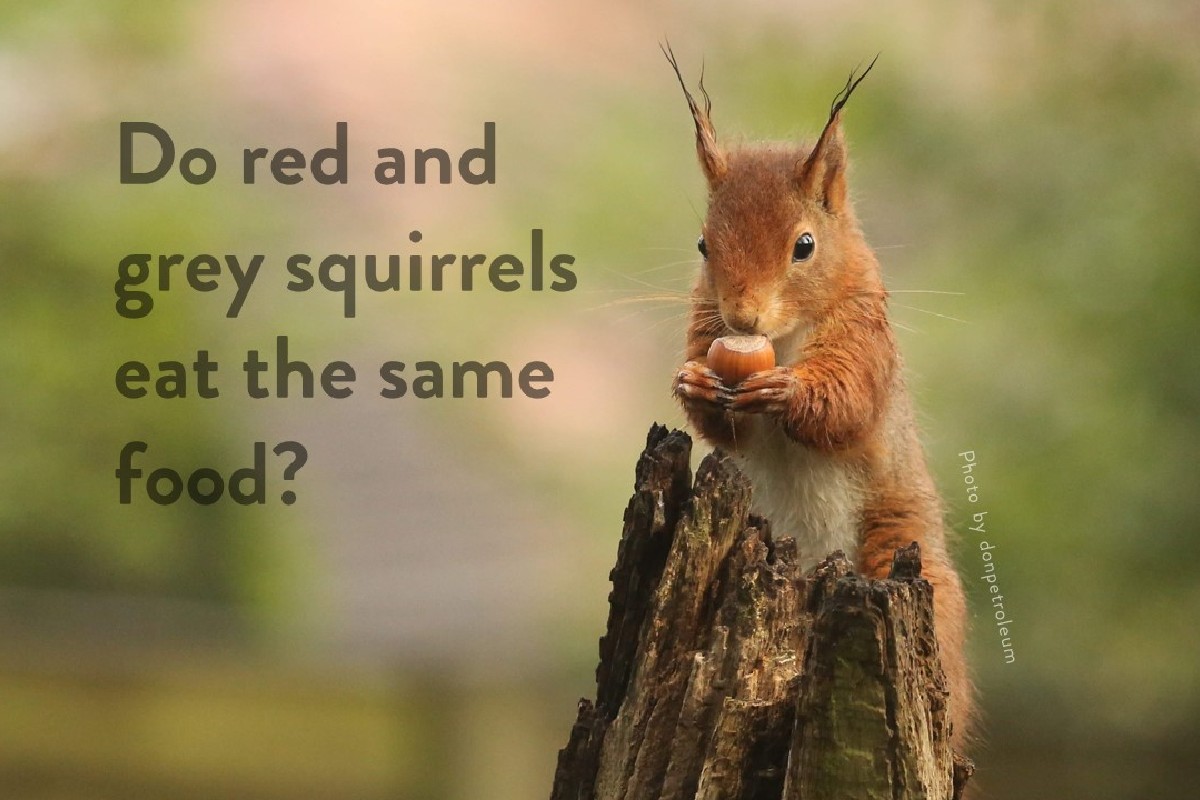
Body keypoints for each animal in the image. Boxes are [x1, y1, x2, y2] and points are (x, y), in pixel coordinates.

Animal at [665, 48, 972, 747]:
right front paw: (696, 383)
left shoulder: (865, 335)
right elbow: (720, 426)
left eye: (804, 245)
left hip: (905, 559)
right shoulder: (704, 325)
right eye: (702, 244)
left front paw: (787, 390)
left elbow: (846, 403)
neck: (780, 339)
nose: (742, 316)